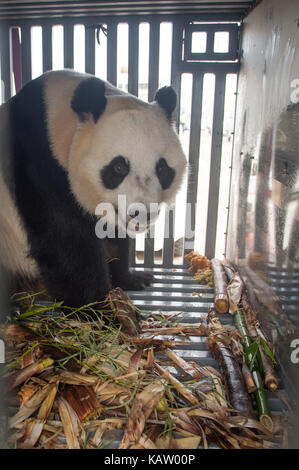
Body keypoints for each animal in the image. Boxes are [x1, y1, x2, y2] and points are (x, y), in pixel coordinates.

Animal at [0, 69, 188, 304]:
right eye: (118, 167)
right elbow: (67, 244)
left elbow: (114, 233)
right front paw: (96, 306)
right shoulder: (41, 168)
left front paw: (132, 279)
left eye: (162, 168)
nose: (143, 213)